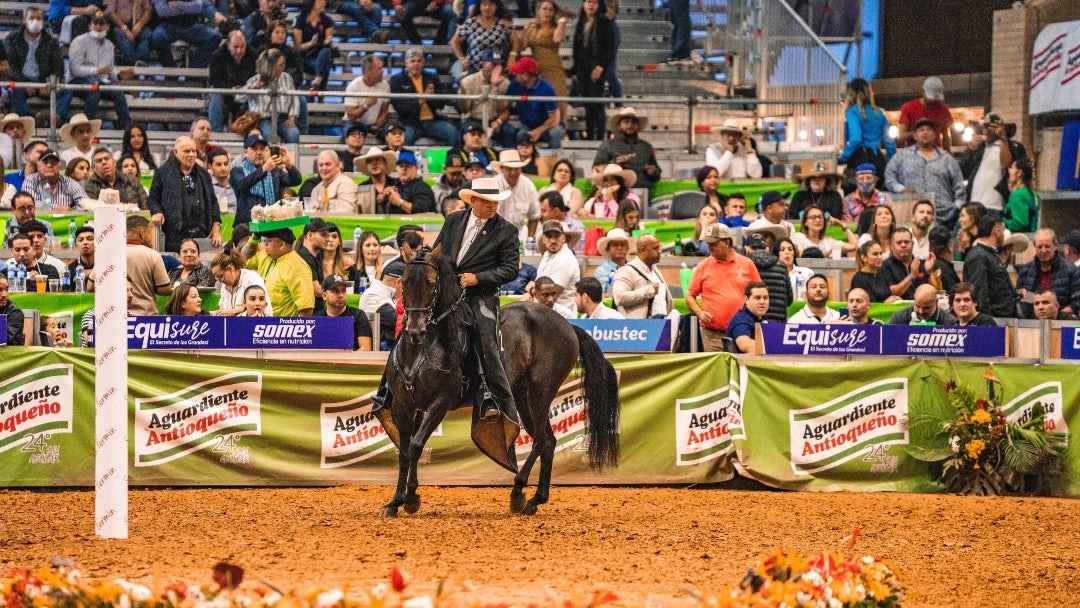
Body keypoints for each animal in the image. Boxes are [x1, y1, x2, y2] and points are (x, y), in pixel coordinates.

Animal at [378, 245, 617, 516]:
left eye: (430, 282)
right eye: (404, 281)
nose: (415, 330)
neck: (423, 349)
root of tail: (568, 326)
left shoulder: (439, 403)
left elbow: (416, 445)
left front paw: (410, 498)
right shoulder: (404, 405)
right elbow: (405, 451)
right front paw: (395, 501)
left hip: (540, 393)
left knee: (542, 440)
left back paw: (519, 493)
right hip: (522, 396)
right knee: (548, 440)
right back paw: (534, 499)